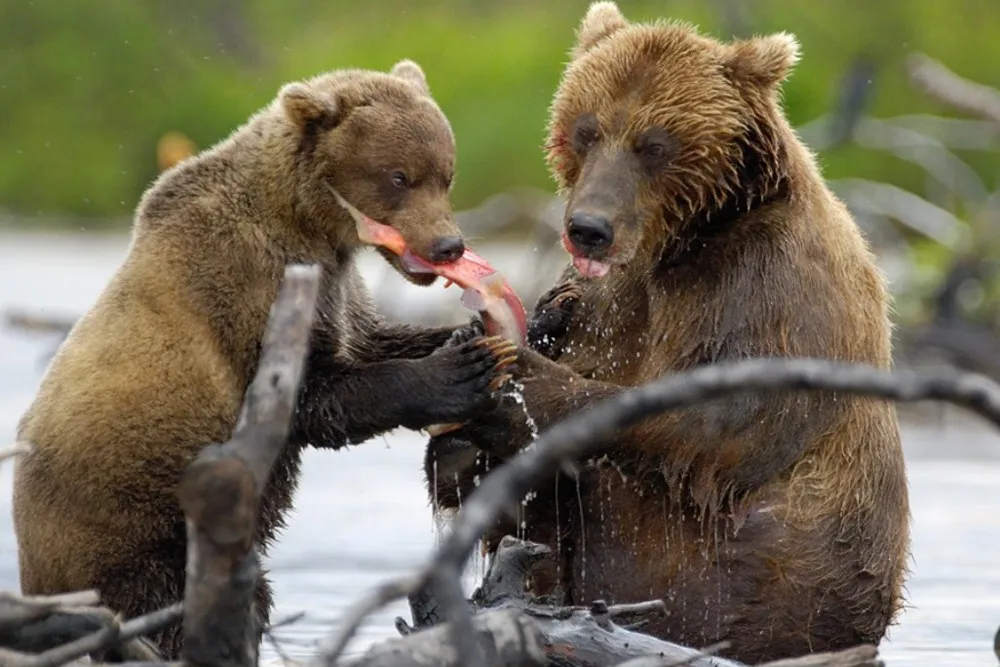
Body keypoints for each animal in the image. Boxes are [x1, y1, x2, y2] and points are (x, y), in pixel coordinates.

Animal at [13, 58, 516, 664]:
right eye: (398, 176)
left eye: (447, 173)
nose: (448, 245)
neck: (307, 222)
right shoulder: (249, 283)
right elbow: (314, 395)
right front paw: (458, 371)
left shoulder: (336, 286)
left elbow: (370, 339)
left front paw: (482, 333)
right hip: (128, 529)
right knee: (164, 604)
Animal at [426, 3, 912, 664]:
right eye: (587, 129)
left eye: (654, 143)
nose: (589, 228)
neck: (681, 242)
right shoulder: (606, 301)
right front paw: (460, 422)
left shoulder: (768, 286)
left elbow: (719, 419)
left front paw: (519, 382)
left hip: (788, 585)